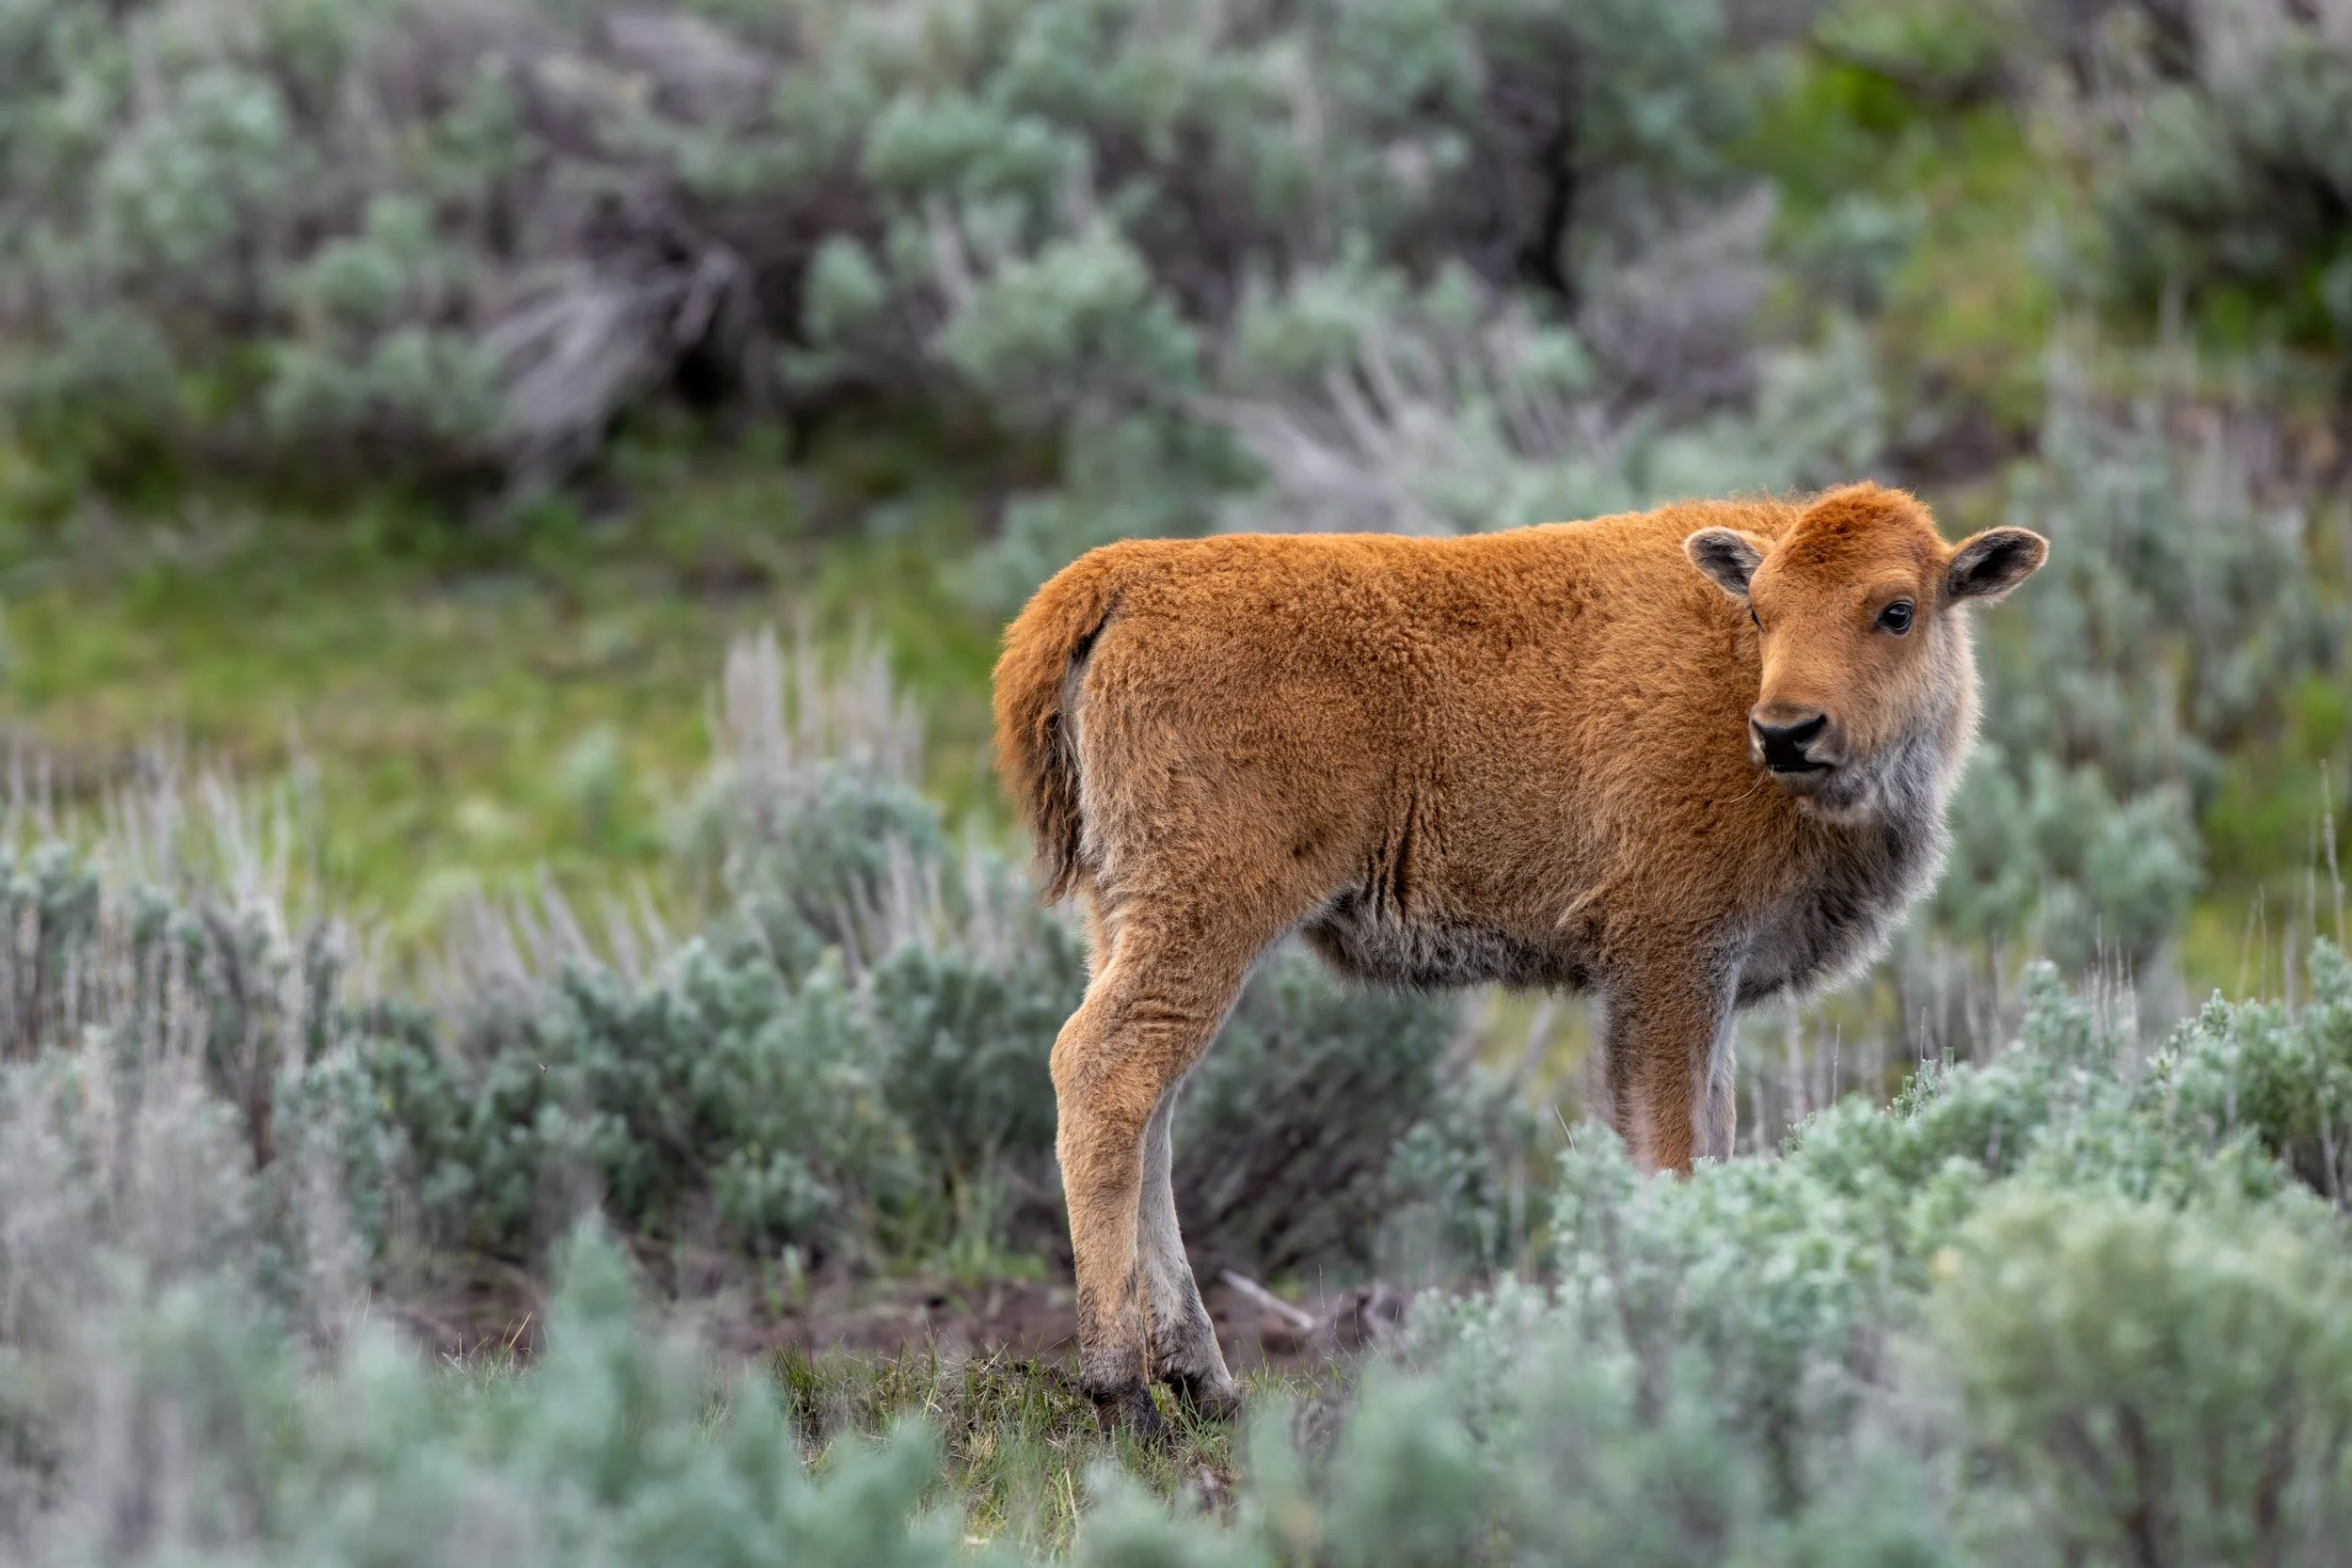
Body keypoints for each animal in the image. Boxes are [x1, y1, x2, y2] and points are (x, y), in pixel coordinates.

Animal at [990, 482, 2047, 1434]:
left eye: (1897, 609)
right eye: (1764, 607)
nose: (1787, 730)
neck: (1734, 680)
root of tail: (1132, 572)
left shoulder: (1707, 990)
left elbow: (1708, 1134)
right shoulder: (1669, 962)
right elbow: (1672, 1151)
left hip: (1130, 916)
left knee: (1152, 1112)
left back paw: (1205, 1381)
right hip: (1207, 915)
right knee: (1107, 1075)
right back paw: (1122, 1389)